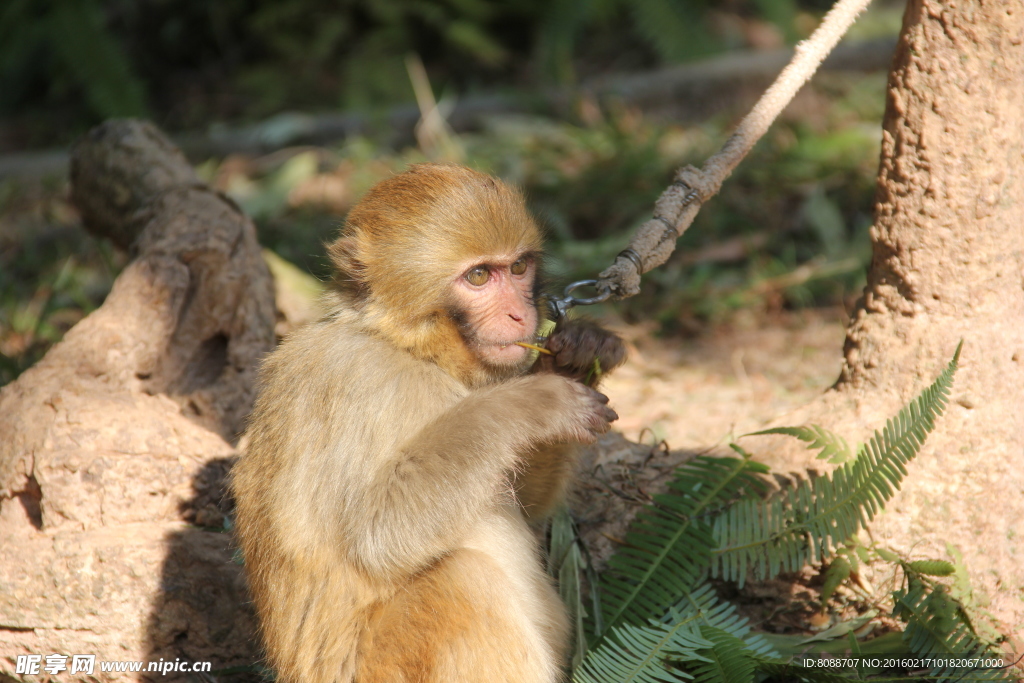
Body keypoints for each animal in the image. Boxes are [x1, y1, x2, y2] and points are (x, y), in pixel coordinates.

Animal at [231, 162, 622, 679]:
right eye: (478, 276)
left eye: (518, 268)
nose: (521, 315)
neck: (408, 348)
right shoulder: (365, 385)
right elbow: (378, 535)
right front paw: (535, 402)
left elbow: (525, 501)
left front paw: (579, 355)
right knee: (463, 580)